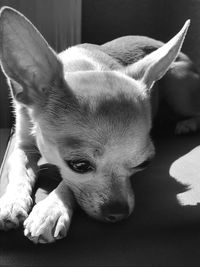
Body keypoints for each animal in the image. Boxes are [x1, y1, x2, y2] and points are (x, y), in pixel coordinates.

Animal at [0, 7, 194, 244]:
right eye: (80, 165)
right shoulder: (22, 145)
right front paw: (11, 202)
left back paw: (187, 123)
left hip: (177, 84)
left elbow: (69, 184)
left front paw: (51, 210)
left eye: (144, 164)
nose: (118, 212)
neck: (82, 66)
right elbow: (20, 171)